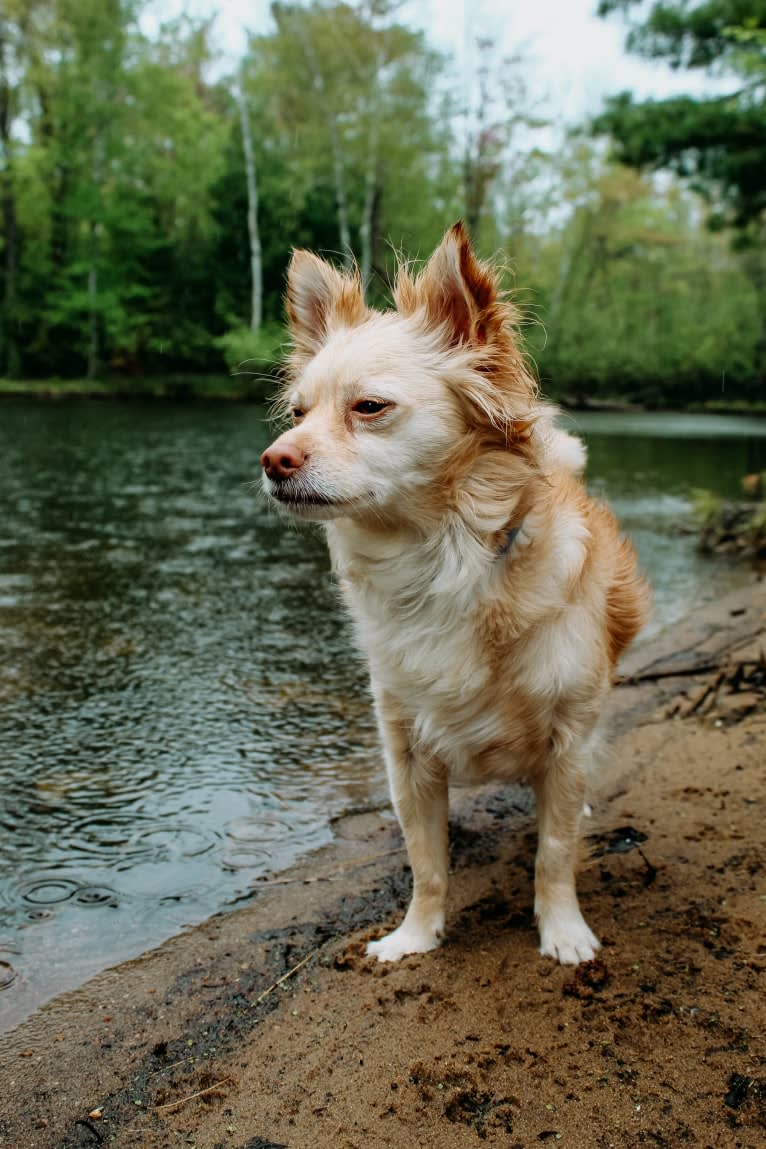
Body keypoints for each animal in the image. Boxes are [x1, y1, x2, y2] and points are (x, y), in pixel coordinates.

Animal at [260, 221, 652, 960]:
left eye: (369, 408)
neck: (440, 560)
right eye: (297, 413)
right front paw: (415, 936)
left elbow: (555, 851)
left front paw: (564, 930)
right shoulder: (407, 755)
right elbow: (427, 860)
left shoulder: (567, 741)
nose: (274, 459)